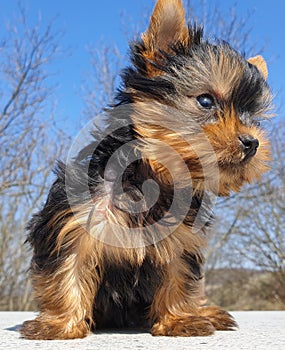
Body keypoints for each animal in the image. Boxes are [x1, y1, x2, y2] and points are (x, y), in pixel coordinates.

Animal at [21, 0, 270, 340]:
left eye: (252, 117)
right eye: (206, 101)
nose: (252, 142)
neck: (152, 175)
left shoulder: (181, 240)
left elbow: (179, 277)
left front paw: (179, 319)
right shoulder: (73, 221)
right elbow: (66, 269)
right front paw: (59, 324)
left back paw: (206, 310)